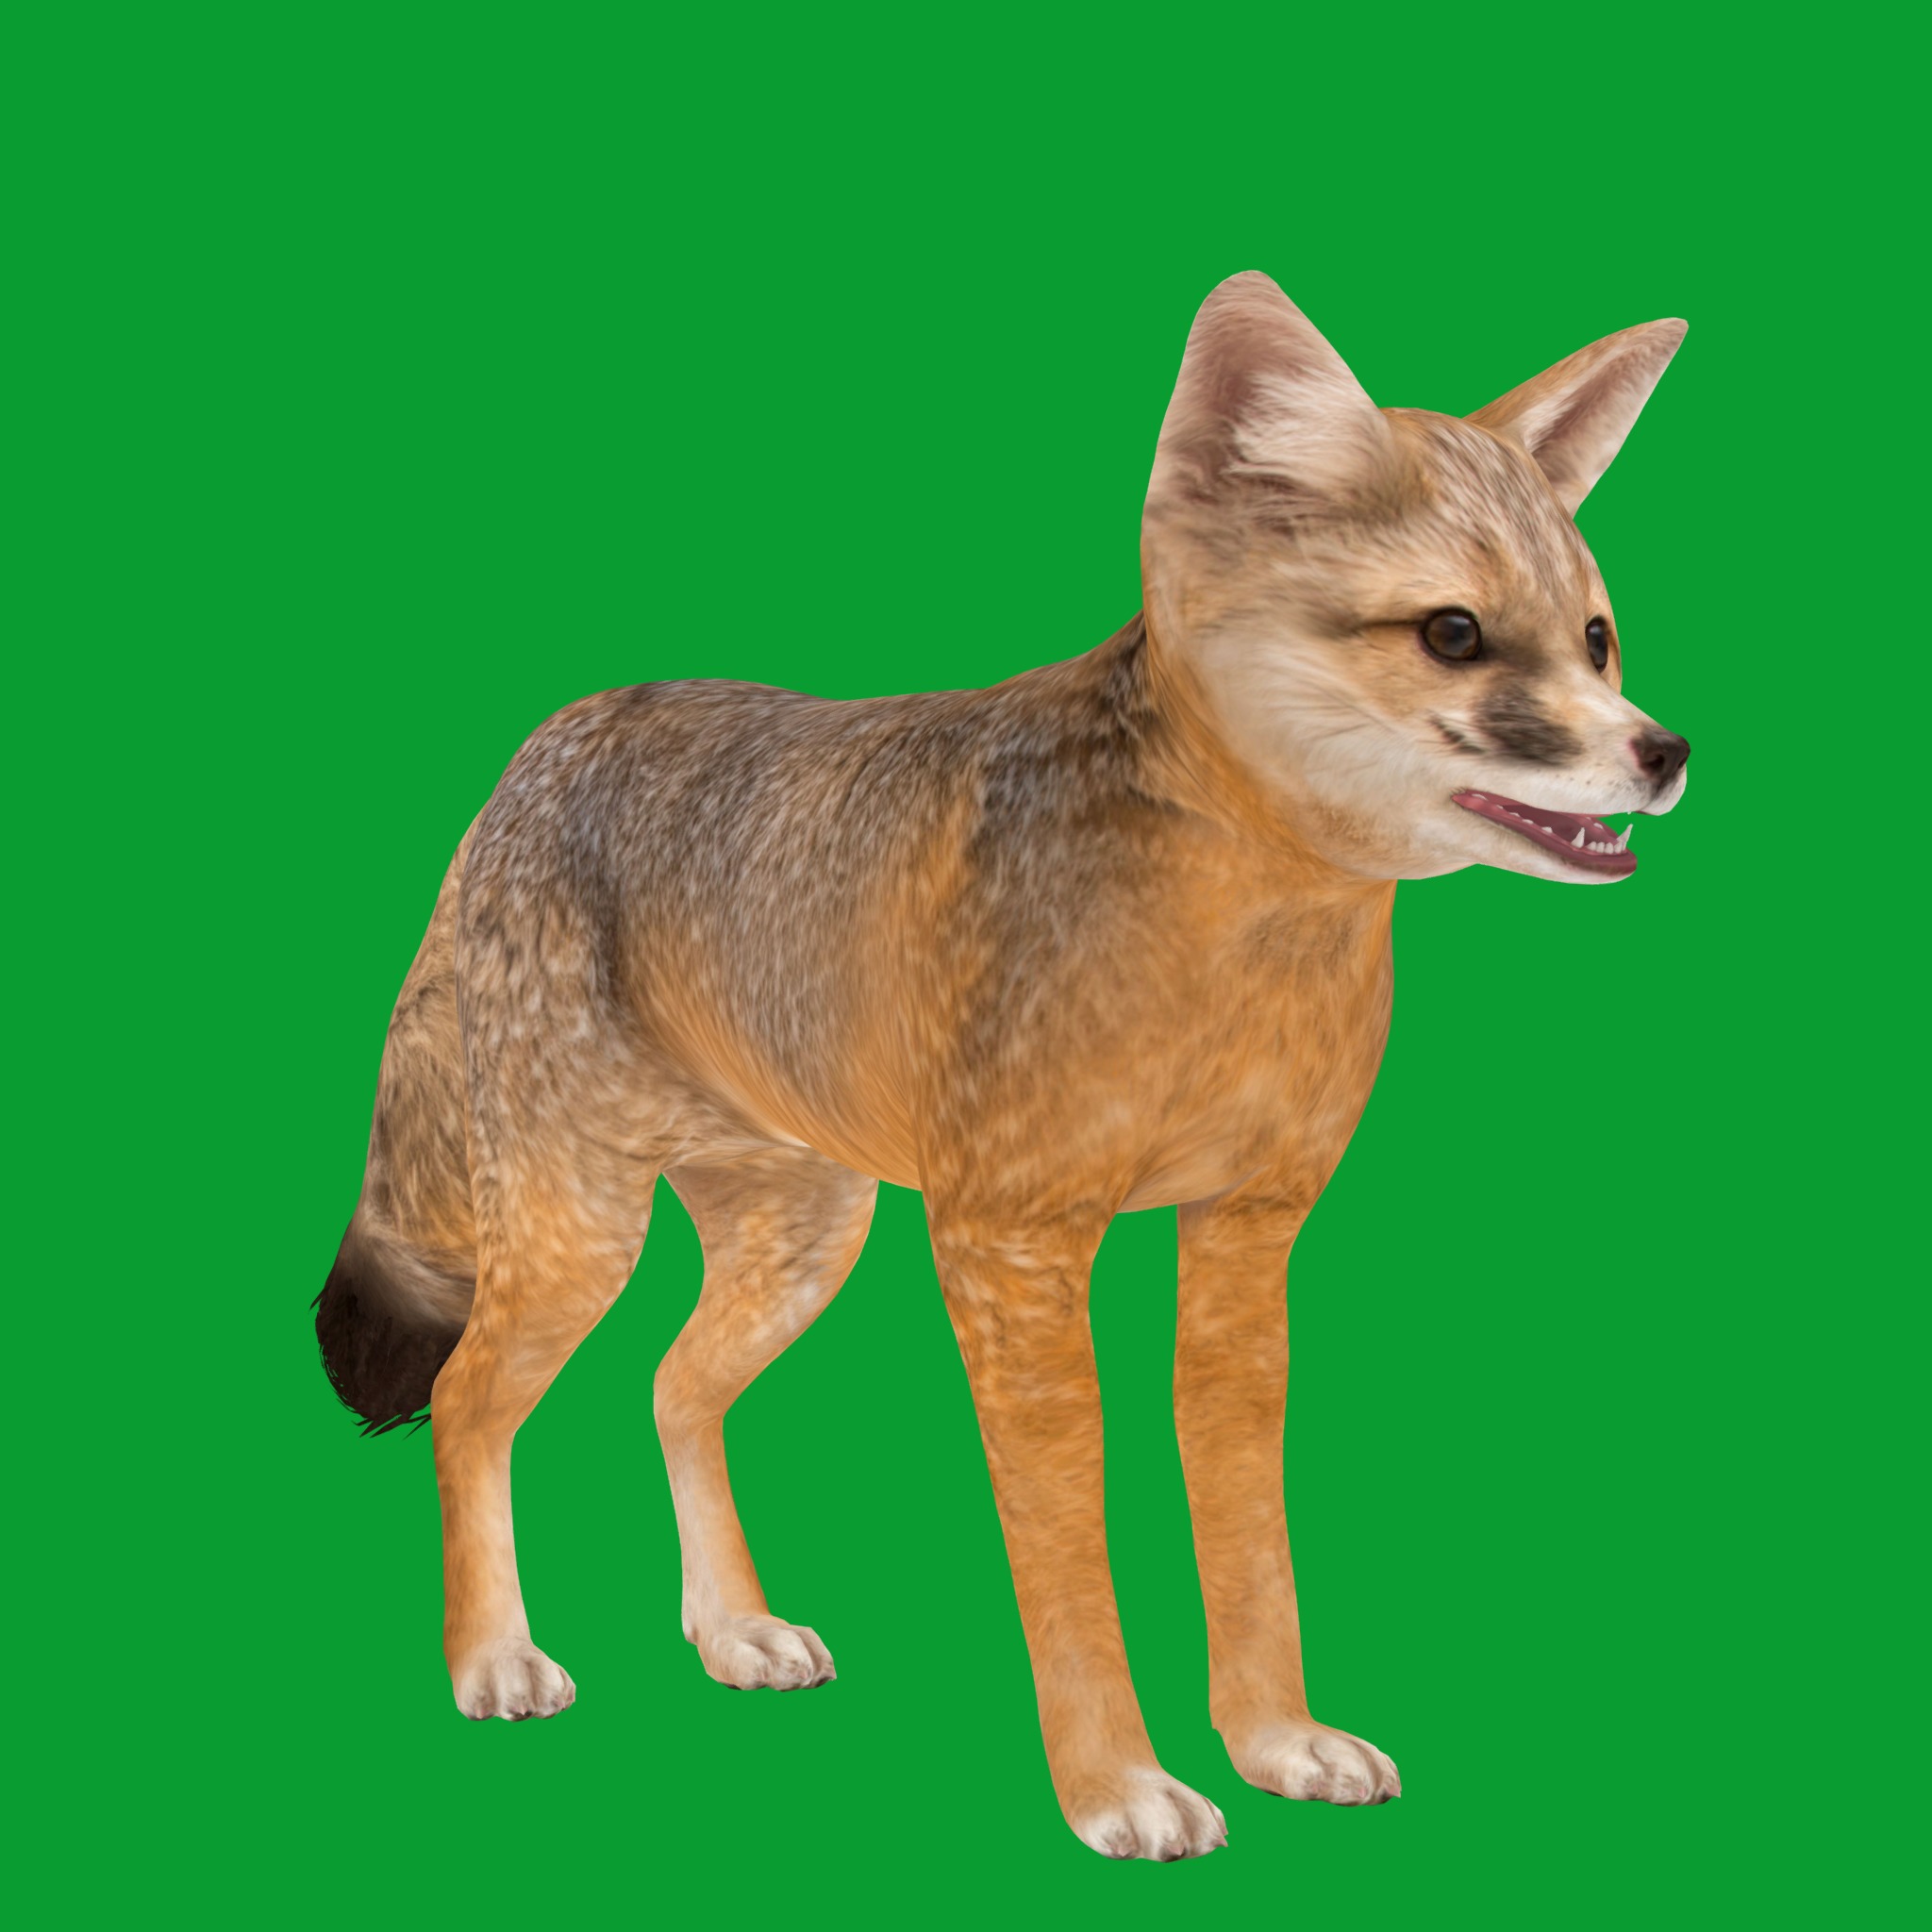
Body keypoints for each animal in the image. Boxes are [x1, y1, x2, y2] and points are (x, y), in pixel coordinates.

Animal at [315, 270, 1691, 1861]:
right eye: (1456, 635)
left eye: (1597, 639)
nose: (1665, 752)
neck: (1240, 957)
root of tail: (542, 743)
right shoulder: (1012, 1245)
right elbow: (1070, 1533)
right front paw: (1118, 1787)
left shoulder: (1247, 1236)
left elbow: (1248, 1528)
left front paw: (1273, 1742)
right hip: (577, 1239)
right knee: (472, 1400)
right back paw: (494, 1656)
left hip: (803, 1247)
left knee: (672, 1389)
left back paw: (731, 1631)